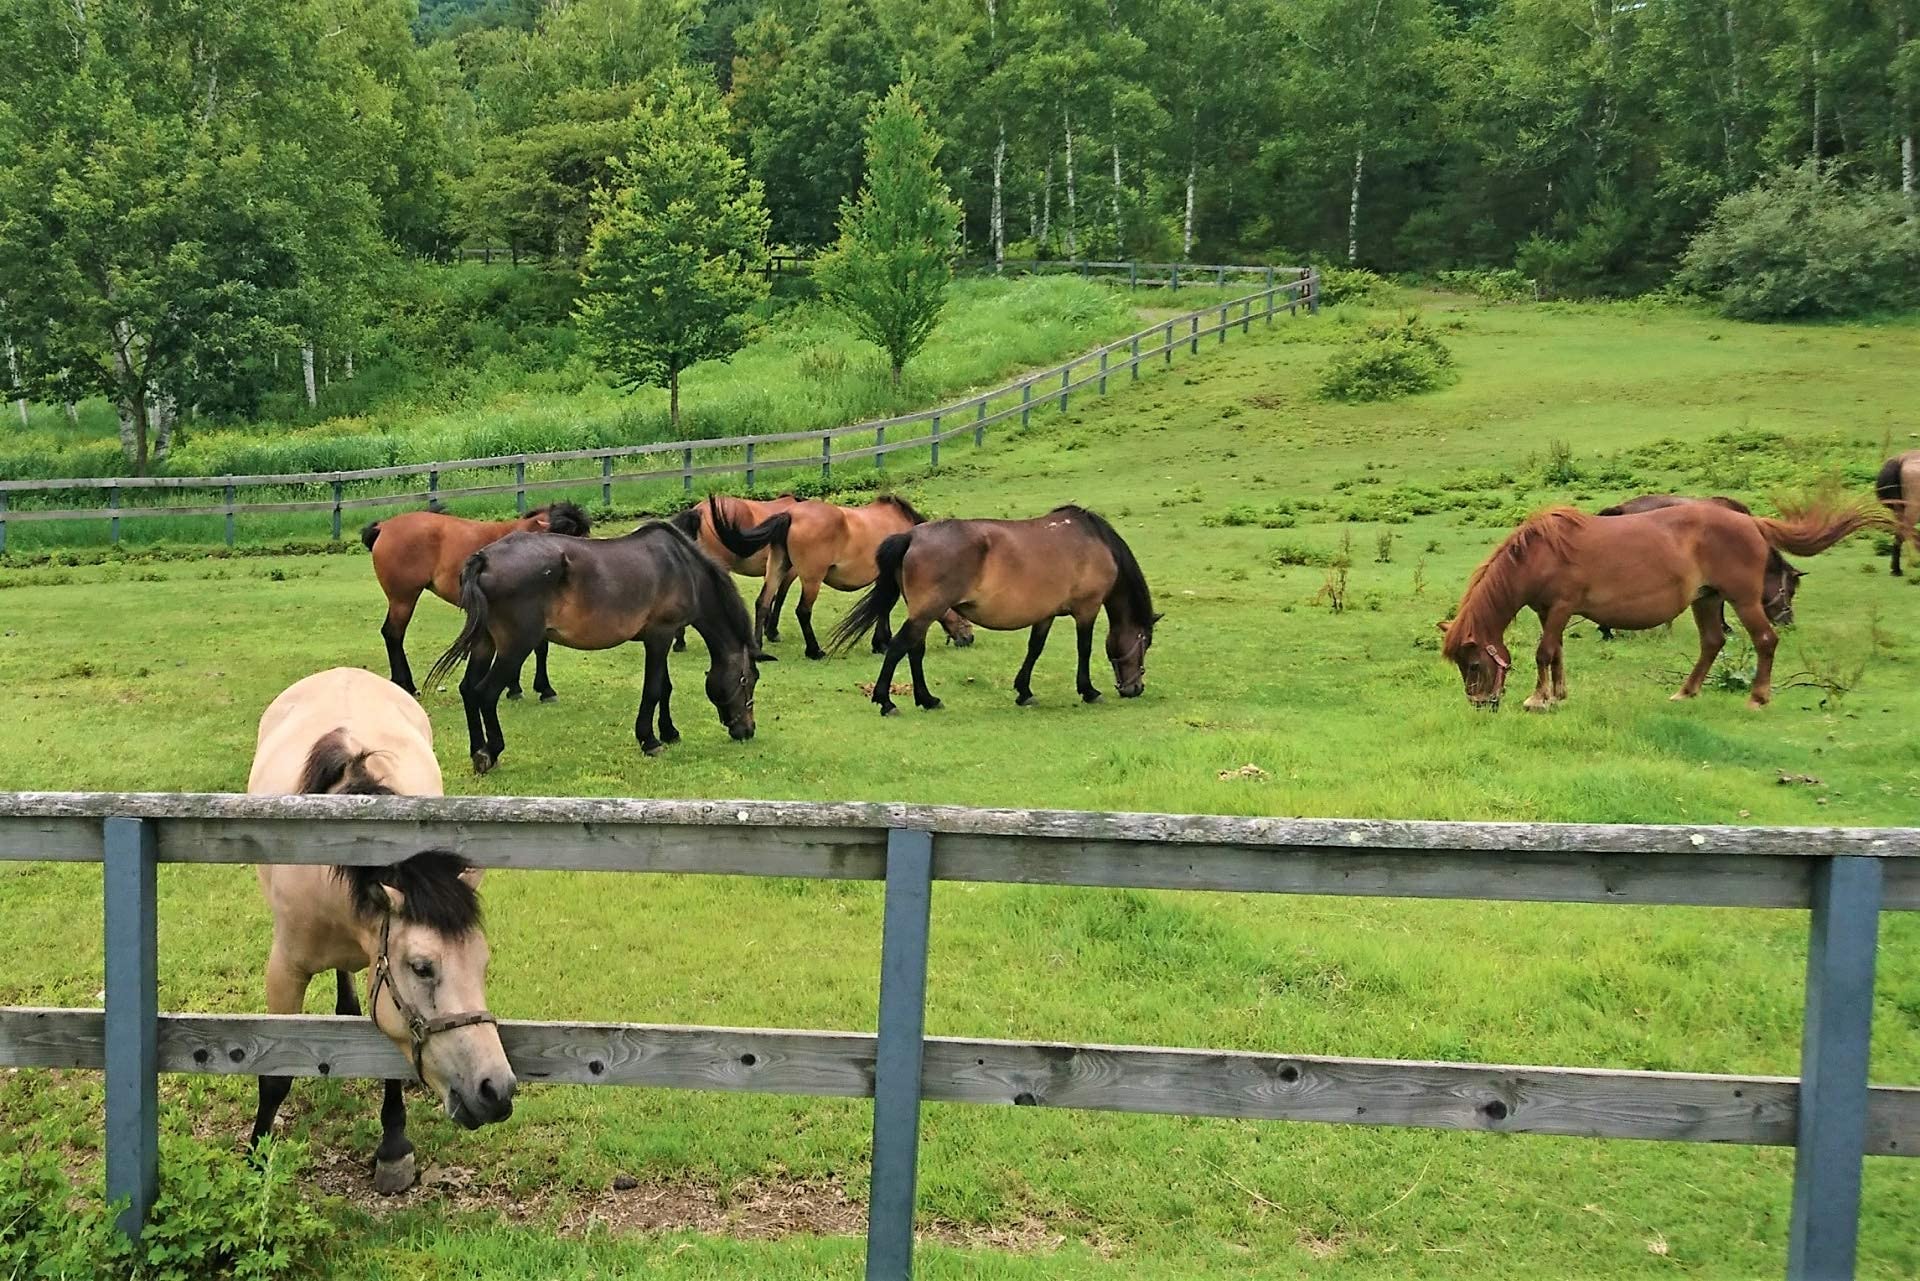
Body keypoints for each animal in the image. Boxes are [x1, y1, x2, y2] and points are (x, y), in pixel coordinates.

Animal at [247, 667, 514, 1194]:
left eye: (483, 964)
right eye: (422, 967)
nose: (497, 1090)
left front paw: (393, 1150)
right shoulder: (284, 971)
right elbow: (274, 1076)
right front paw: (255, 1160)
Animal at [363, 503, 592, 698]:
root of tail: (383, 526)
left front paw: (520, 687)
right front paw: (538, 688)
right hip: (403, 599)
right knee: (393, 635)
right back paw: (405, 684)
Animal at [424, 522, 771, 773]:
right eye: (748, 680)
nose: (748, 730)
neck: (682, 567)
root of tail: (484, 560)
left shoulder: (663, 637)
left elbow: (665, 687)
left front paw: (669, 732)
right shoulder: (660, 635)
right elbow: (654, 689)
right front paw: (650, 740)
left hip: (484, 642)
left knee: (469, 690)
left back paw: (477, 749)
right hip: (515, 647)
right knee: (485, 693)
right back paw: (491, 752)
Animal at [704, 494, 976, 659]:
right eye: (961, 609)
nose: (969, 638)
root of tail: (790, 515)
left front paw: (881, 642)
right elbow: (883, 609)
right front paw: (882, 643)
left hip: (779, 567)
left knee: (763, 602)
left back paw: (759, 649)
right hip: (811, 579)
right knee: (803, 611)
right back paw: (814, 651)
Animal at [827, 505, 1158, 716]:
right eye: (1145, 642)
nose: (1136, 688)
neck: (1094, 542)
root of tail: (911, 536)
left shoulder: (1046, 613)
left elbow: (1035, 648)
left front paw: (1024, 691)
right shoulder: (1086, 609)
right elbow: (1084, 649)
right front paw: (1088, 691)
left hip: (923, 613)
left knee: (914, 651)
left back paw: (928, 699)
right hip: (926, 612)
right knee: (898, 648)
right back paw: (886, 702)